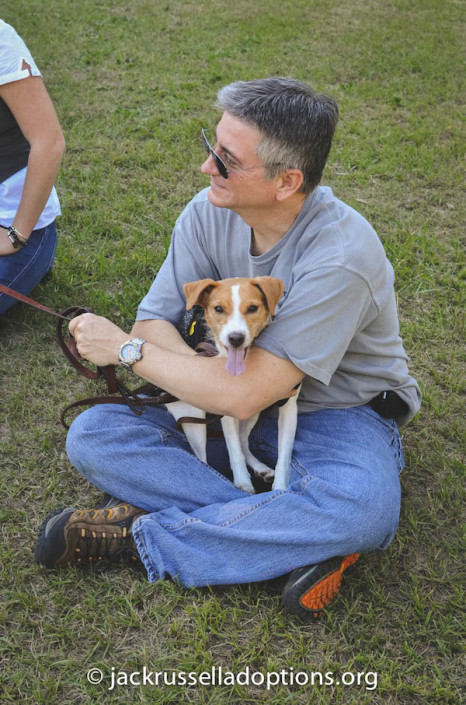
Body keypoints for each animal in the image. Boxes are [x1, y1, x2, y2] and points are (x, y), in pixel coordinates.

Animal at [166, 278, 300, 492]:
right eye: (218, 308)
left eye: (253, 308)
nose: (235, 338)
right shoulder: (226, 407)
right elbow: (233, 448)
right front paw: (242, 482)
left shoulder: (289, 407)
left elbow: (284, 456)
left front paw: (280, 488)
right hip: (193, 417)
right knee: (202, 459)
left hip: (252, 411)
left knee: (244, 440)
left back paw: (260, 467)